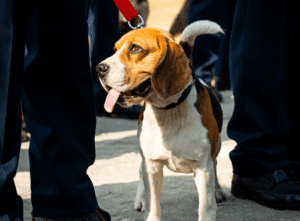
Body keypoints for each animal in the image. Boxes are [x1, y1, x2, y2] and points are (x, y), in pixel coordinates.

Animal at [97, 20, 226, 221]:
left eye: (135, 48)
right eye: (115, 49)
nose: (99, 69)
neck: (168, 112)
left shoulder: (203, 169)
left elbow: (206, 207)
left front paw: (212, 198)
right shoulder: (152, 165)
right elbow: (153, 206)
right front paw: (147, 203)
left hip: (217, 146)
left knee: (216, 164)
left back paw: (218, 191)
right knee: (140, 172)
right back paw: (141, 198)